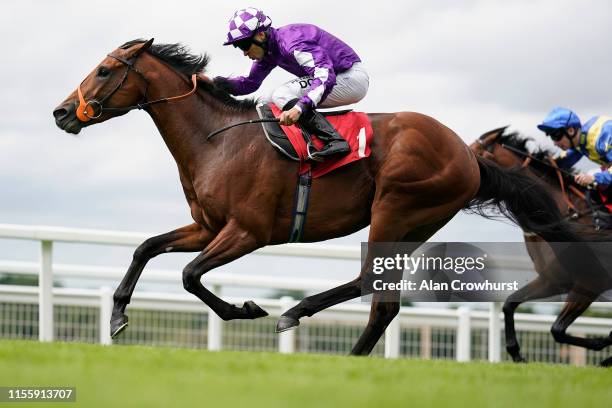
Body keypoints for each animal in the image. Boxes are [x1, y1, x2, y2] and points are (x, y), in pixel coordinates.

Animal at [51, 39, 580, 356]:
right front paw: (118, 316)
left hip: (395, 207)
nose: (61, 112)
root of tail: (470, 156)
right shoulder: (208, 226)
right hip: (415, 225)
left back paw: (300, 318)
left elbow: (189, 275)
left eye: (104, 71)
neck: (216, 140)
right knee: (382, 301)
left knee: (371, 287)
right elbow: (147, 248)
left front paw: (246, 310)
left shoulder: (248, 232)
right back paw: (341, 347)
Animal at [474, 128, 612, 366]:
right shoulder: (553, 280)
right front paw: (516, 353)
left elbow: (557, 329)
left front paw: (602, 346)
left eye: (473, 151)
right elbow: (510, 304)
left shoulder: (590, 283)